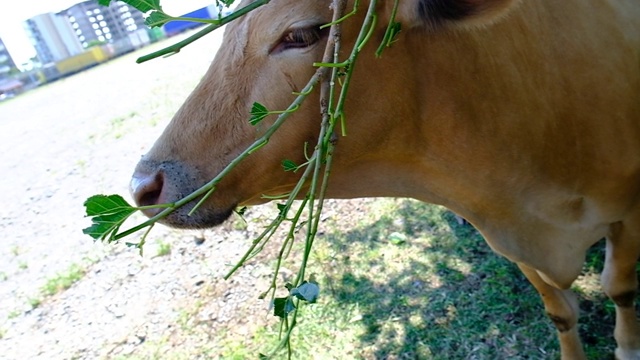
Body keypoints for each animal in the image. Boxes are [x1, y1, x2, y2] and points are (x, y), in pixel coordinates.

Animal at [130, 1, 640, 358]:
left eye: (300, 33)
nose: (143, 186)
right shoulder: (510, 241)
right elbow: (560, 313)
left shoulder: (628, 213)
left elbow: (619, 287)